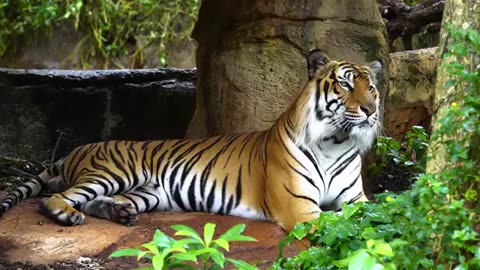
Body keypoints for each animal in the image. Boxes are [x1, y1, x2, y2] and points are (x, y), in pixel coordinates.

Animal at [0, 51, 382, 232]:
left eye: (372, 87)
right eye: (345, 84)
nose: (371, 109)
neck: (336, 140)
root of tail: (77, 149)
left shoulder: (357, 198)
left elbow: (375, 210)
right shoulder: (300, 208)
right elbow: (346, 222)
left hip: (148, 192)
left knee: (96, 202)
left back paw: (120, 213)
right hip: (113, 172)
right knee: (56, 197)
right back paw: (66, 214)